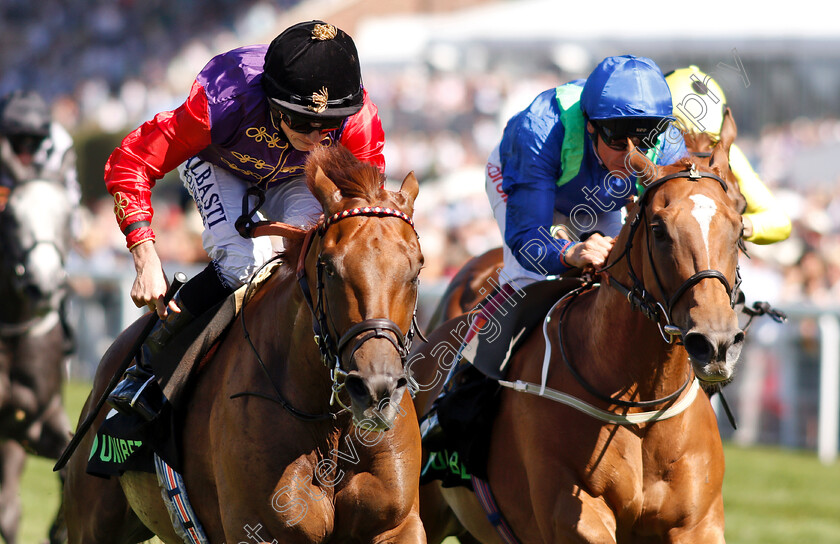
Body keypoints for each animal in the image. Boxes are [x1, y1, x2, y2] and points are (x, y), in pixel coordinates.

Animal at [63, 144, 426, 544]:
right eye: (330, 268)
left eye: (417, 270)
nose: (376, 390)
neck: (332, 429)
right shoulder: (258, 530)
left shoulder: (399, 525)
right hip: (93, 521)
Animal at [410, 113, 744, 540]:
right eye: (658, 229)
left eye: (739, 225)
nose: (715, 343)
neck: (641, 404)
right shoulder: (571, 514)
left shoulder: (697, 523)